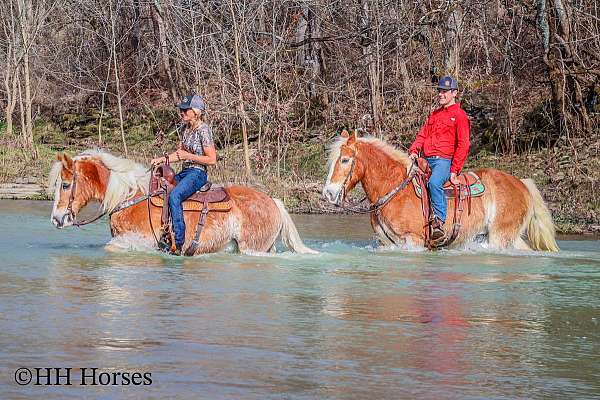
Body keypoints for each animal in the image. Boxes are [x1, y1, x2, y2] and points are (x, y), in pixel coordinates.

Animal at [48, 148, 318, 255]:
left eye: (65, 184)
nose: (56, 219)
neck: (130, 197)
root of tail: (273, 201)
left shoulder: (139, 242)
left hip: (252, 248)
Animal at [322, 130, 560, 252]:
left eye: (345, 160)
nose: (328, 193)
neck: (395, 189)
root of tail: (521, 183)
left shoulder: (414, 241)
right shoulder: (386, 243)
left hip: (500, 236)